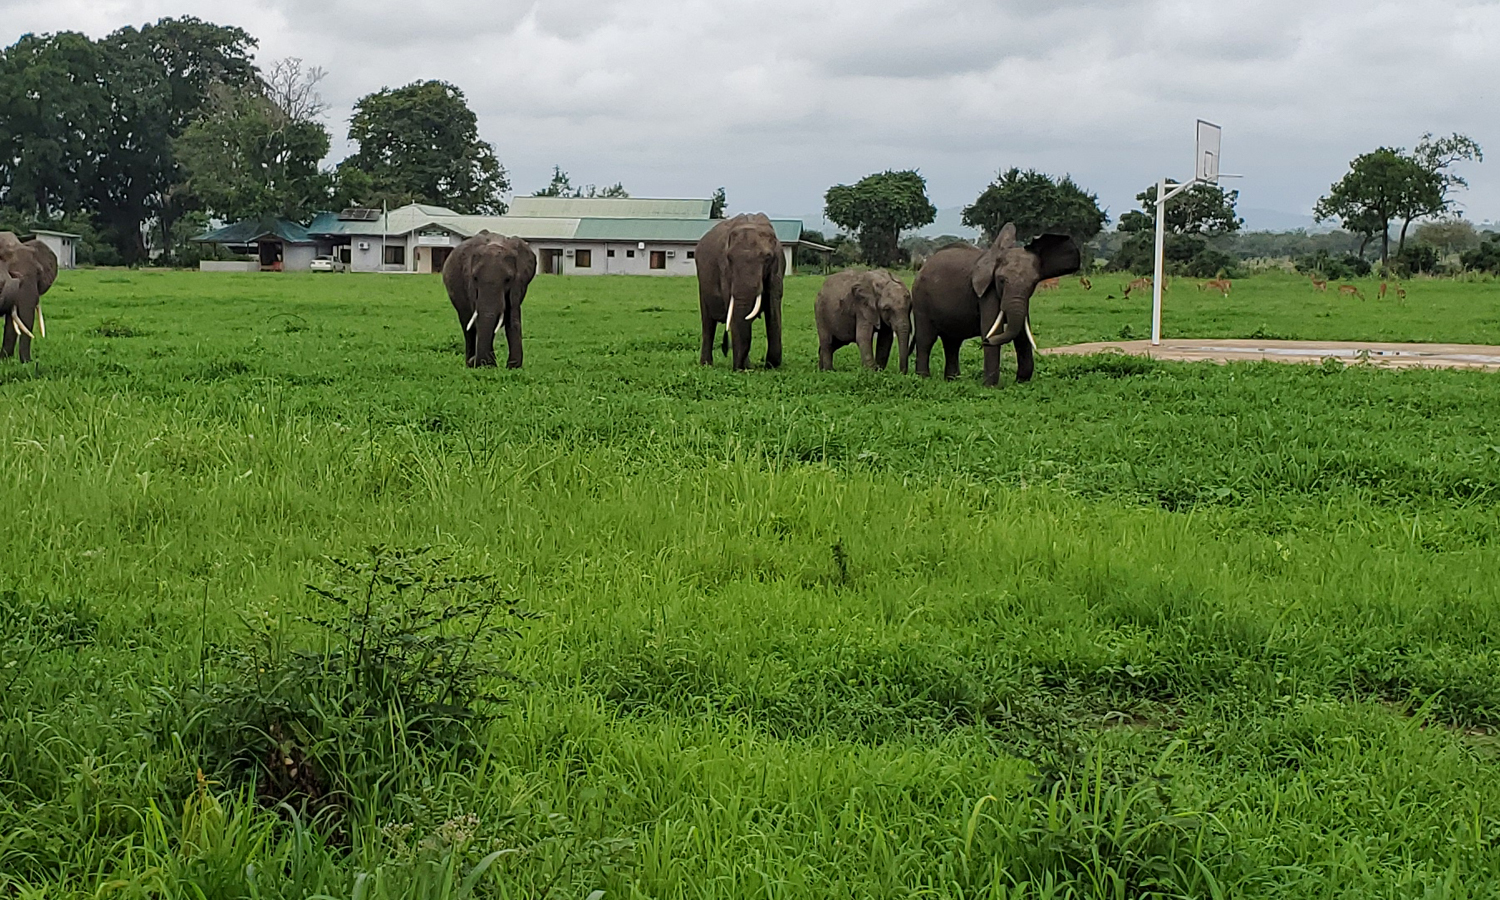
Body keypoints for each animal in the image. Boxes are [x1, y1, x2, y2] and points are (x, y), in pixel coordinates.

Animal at [441, 235, 537, 372]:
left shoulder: (518, 284)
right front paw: (487, 366)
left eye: (508, 279)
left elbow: (513, 317)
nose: (474, 361)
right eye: (475, 278)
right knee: (467, 326)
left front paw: (513, 367)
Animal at [693, 214, 786, 369]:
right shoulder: (724, 269)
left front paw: (771, 365)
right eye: (729, 259)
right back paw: (707, 365)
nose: (741, 366)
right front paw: (744, 368)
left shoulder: (777, 269)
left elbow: (773, 304)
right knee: (708, 323)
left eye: (768, 258)